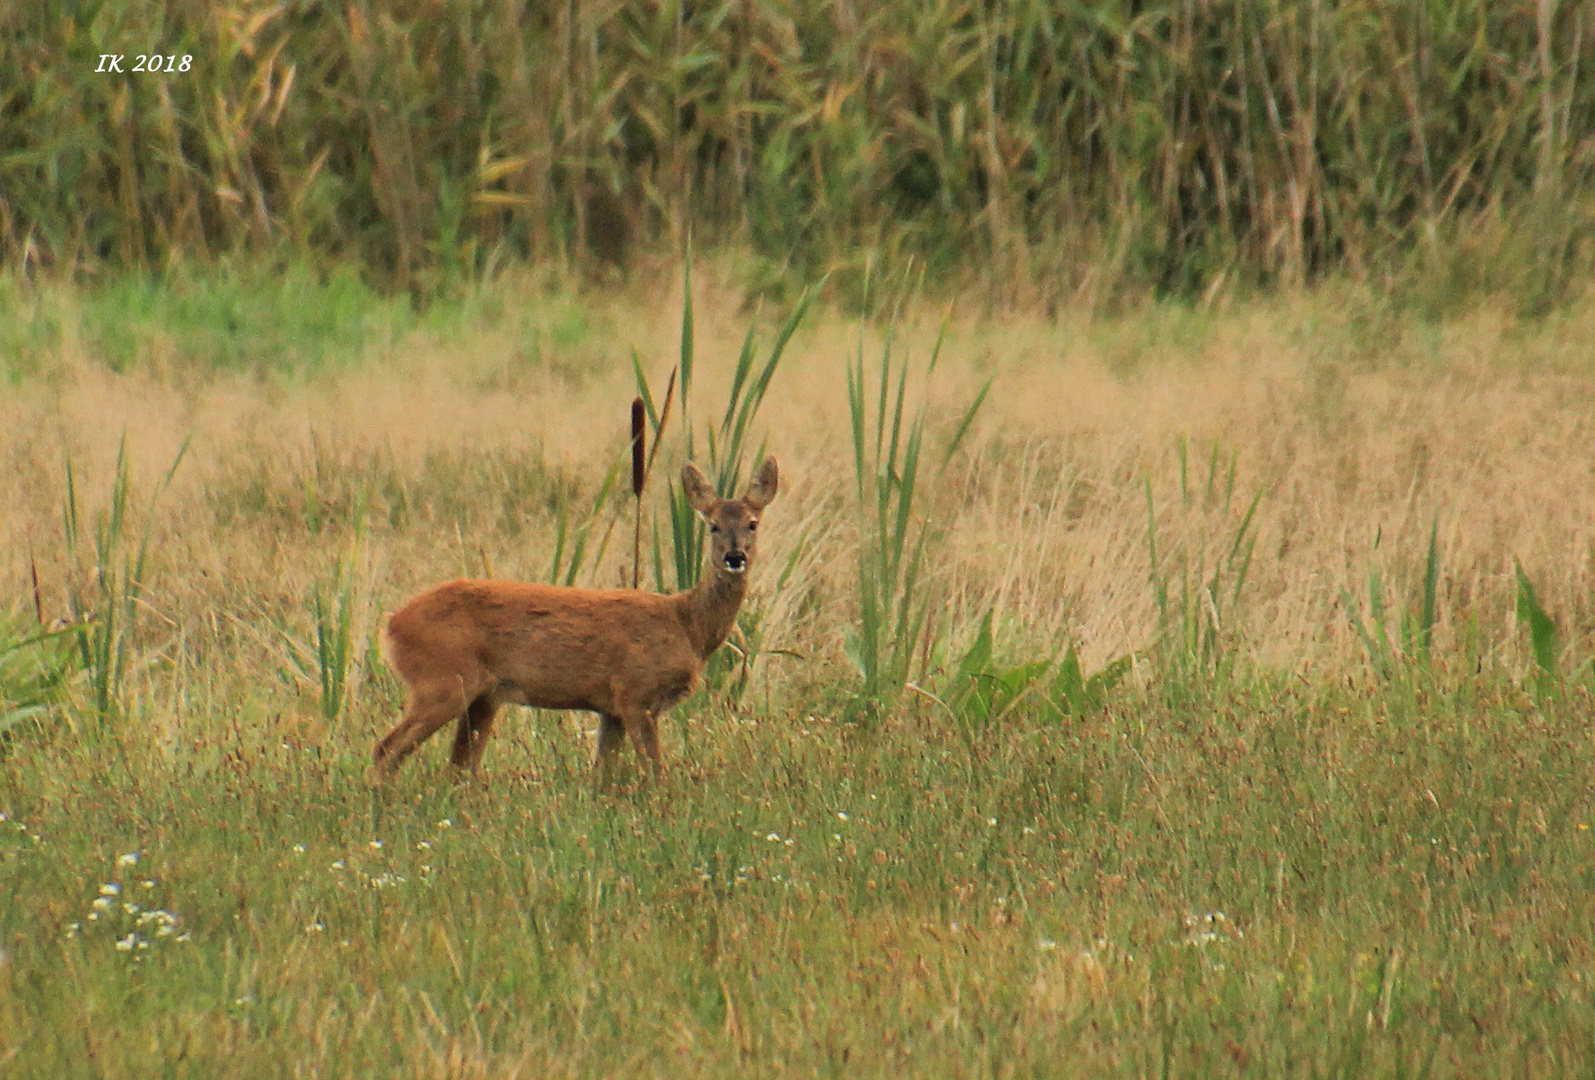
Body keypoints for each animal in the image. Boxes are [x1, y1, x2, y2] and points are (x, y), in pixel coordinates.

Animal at [373, 453, 771, 775]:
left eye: (753, 523)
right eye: (712, 525)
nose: (734, 557)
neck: (688, 625)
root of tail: (392, 625)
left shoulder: (611, 709)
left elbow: (603, 777)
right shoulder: (635, 693)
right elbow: (656, 772)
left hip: (482, 696)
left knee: (457, 768)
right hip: (442, 682)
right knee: (386, 750)